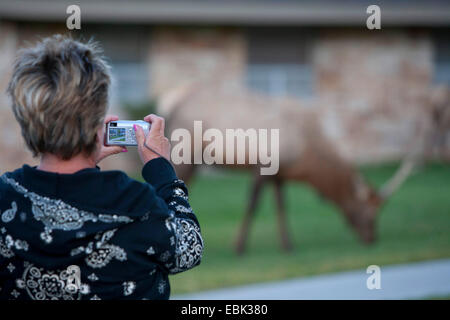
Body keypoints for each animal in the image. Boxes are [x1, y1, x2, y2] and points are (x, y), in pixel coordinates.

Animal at [158, 83, 422, 255]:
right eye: (369, 210)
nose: (372, 238)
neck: (305, 160)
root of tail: (172, 108)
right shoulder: (262, 165)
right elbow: (253, 205)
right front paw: (239, 246)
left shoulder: (280, 174)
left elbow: (281, 205)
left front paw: (287, 244)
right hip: (186, 152)